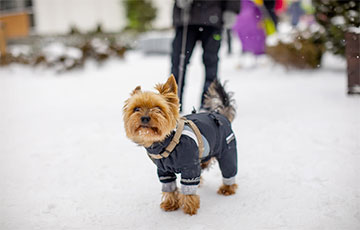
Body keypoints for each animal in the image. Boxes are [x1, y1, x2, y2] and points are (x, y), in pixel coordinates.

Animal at [122, 74, 238, 215]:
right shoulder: (164, 171)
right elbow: (169, 187)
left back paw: (227, 188)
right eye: (136, 109)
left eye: (158, 108)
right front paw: (170, 204)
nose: (144, 118)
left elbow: (188, 189)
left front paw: (189, 208)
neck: (166, 142)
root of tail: (219, 114)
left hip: (228, 150)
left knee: (229, 169)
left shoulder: (190, 167)